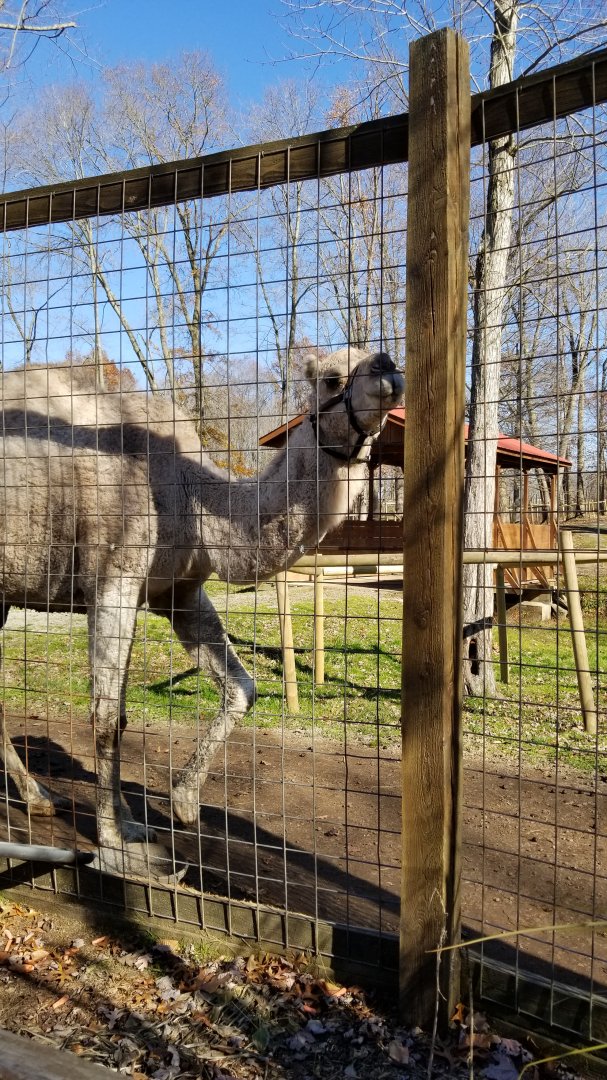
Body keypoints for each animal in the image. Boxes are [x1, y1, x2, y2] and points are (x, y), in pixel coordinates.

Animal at [0, 347, 404, 878]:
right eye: (333, 377)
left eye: (375, 354)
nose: (387, 365)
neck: (192, 492)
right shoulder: (112, 578)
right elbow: (107, 715)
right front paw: (117, 841)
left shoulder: (179, 592)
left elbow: (241, 689)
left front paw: (181, 802)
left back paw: (39, 797)